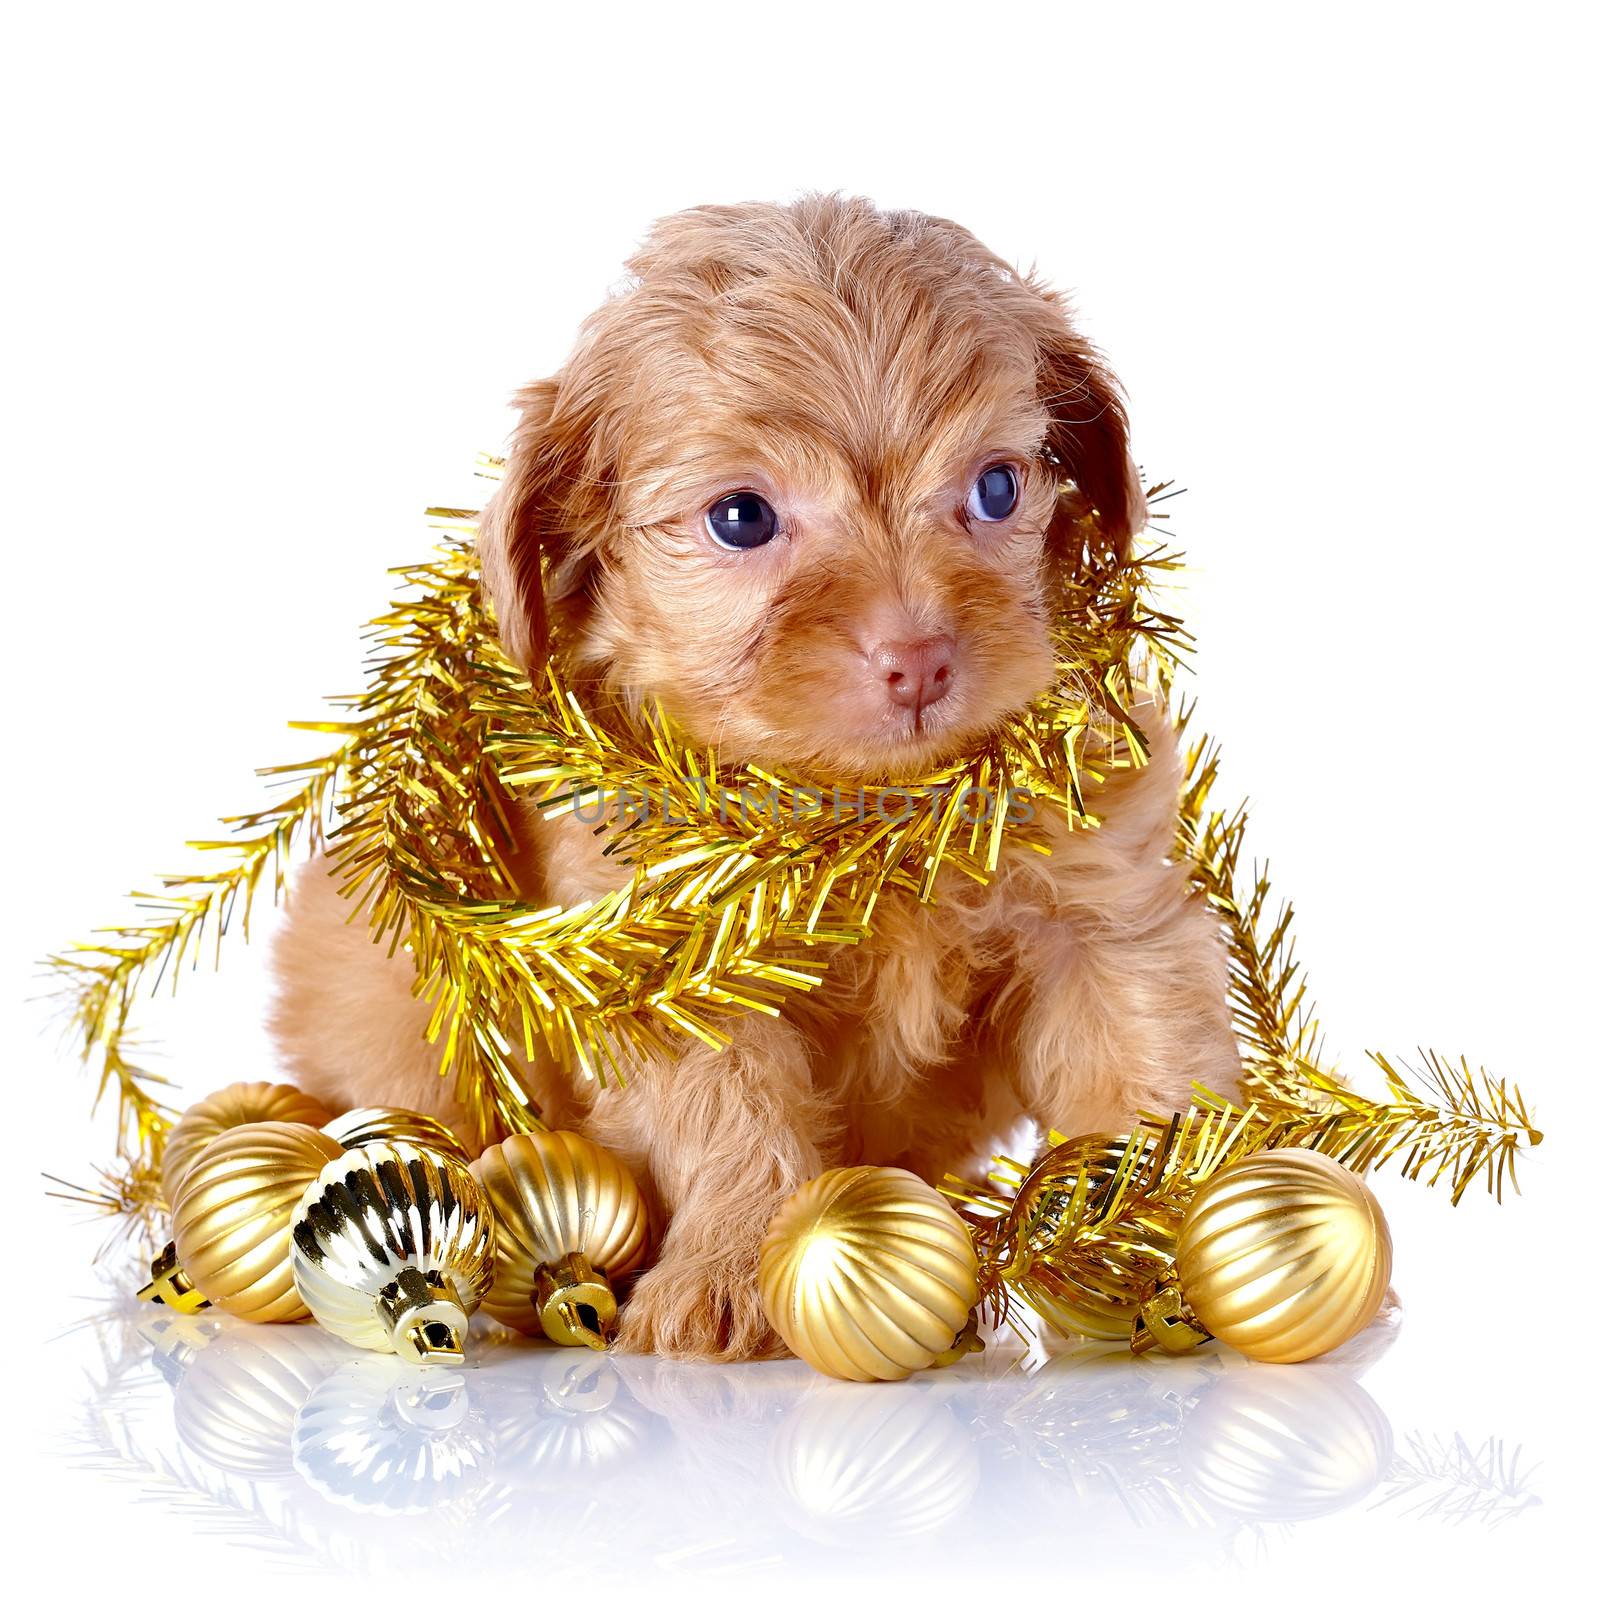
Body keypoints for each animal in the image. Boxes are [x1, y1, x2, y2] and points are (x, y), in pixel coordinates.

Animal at [268, 193, 1235, 1356]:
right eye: (742, 517)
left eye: (997, 487)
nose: (919, 657)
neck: (862, 817)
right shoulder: (664, 968)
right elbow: (729, 1111)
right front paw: (732, 1264)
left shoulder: (1101, 914)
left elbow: (1145, 1061)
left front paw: (1153, 1235)